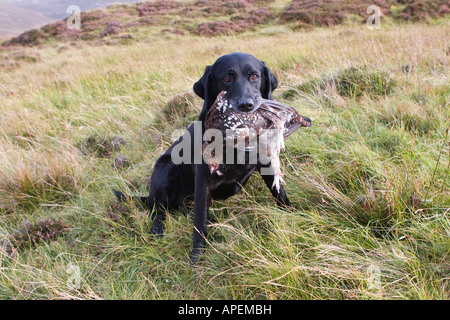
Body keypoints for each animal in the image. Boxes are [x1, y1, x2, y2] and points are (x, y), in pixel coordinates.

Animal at [116, 52, 290, 264]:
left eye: (254, 76)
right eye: (227, 78)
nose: (246, 105)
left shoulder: (267, 163)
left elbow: (279, 192)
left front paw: (294, 214)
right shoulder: (203, 180)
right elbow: (199, 224)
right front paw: (197, 256)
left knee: (181, 207)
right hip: (164, 167)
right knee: (159, 209)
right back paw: (159, 228)